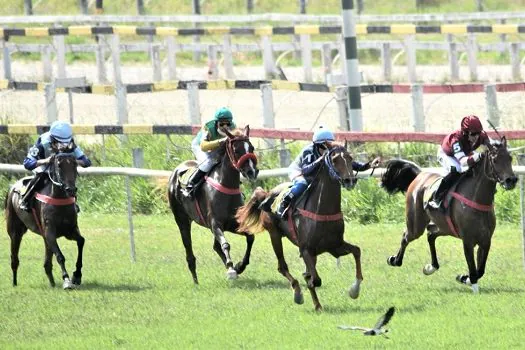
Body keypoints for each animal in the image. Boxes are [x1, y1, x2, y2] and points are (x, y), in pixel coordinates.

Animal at [4, 154, 85, 290]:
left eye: (75, 165)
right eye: (59, 165)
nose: (71, 189)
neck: (58, 198)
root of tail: (13, 187)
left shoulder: (70, 230)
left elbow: (81, 241)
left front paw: (77, 276)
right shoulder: (50, 232)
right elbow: (60, 256)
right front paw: (66, 280)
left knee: (47, 263)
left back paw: (52, 283)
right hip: (15, 231)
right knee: (14, 258)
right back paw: (14, 283)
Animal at [167, 126, 258, 284]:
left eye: (251, 147)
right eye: (236, 150)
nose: (252, 171)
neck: (226, 185)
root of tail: (177, 169)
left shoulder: (233, 224)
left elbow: (250, 238)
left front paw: (239, 266)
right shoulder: (215, 224)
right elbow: (225, 244)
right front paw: (231, 268)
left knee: (216, 246)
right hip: (182, 220)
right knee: (188, 247)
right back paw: (196, 279)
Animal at [236, 144, 362, 310]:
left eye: (350, 158)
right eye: (334, 159)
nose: (350, 180)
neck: (323, 209)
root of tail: (267, 194)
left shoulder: (334, 246)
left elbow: (357, 251)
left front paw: (354, 290)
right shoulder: (306, 249)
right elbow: (315, 279)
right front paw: (309, 292)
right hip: (274, 234)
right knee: (282, 267)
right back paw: (297, 293)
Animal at [378, 137, 516, 292]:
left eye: (510, 158)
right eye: (495, 159)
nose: (511, 180)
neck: (477, 199)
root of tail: (420, 175)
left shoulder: (485, 240)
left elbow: (480, 270)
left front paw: (464, 278)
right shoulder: (467, 241)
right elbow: (473, 268)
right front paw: (472, 284)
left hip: (445, 226)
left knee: (430, 234)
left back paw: (431, 267)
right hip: (416, 224)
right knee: (406, 236)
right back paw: (395, 260)